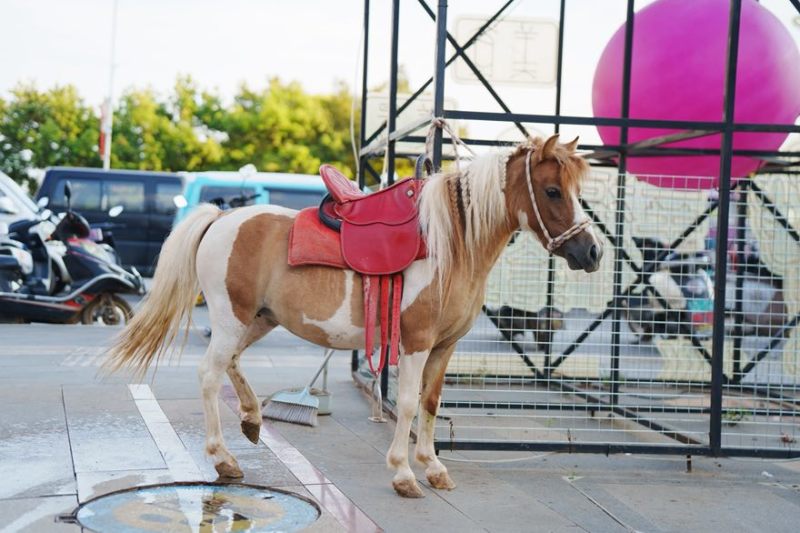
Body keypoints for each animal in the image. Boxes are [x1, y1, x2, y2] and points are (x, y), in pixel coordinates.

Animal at [105, 134, 603, 498]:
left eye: (578, 191)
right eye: (553, 191)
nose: (593, 252)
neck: (450, 244)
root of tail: (220, 219)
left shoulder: (445, 346)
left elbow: (431, 403)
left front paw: (433, 467)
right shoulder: (415, 342)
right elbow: (407, 404)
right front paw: (403, 473)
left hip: (257, 320)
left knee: (231, 364)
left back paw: (251, 419)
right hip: (232, 319)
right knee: (210, 374)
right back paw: (224, 458)